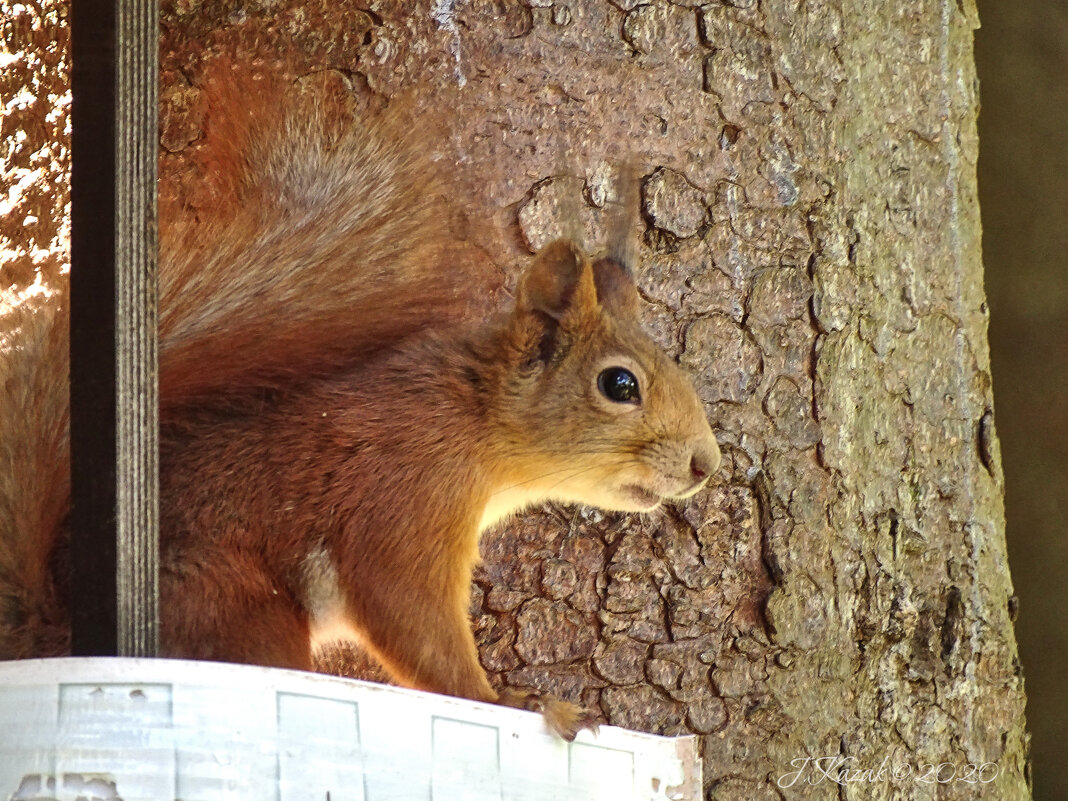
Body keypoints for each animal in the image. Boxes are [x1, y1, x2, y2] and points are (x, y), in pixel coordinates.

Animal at [0, 73, 721, 739]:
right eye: (620, 385)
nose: (705, 464)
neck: (472, 419)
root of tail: (53, 629)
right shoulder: (404, 499)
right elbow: (411, 617)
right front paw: (511, 701)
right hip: (233, 605)